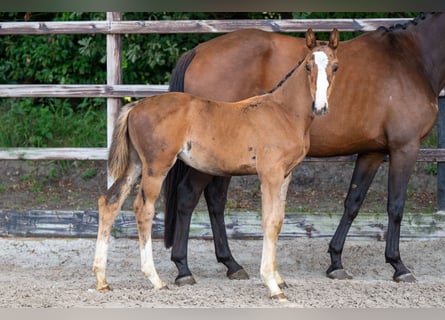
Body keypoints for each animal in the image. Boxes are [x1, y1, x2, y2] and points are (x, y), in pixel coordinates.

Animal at [92, 28, 338, 302]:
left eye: (335, 66)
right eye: (307, 66)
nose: (320, 107)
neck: (284, 111)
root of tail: (136, 106)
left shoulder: (286, 175)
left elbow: (279, 221)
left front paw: (278, 278)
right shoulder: (270, 175)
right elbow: (269, 222)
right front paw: (272, 285)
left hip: (135, 165)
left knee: (109, 202)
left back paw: (102, 280)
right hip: (156, 166)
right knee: (143, 209)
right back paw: (156, 279)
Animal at [164, 12, 444, 286]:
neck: (410, 58)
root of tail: (198, 51)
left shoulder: (372, 152)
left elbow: (353, 202)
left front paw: (336, 261)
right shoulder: (404, 148)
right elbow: (396, 206)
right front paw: (399, 266)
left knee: (215, 200)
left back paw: (231, 264)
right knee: (188, 196)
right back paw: (183, 268)